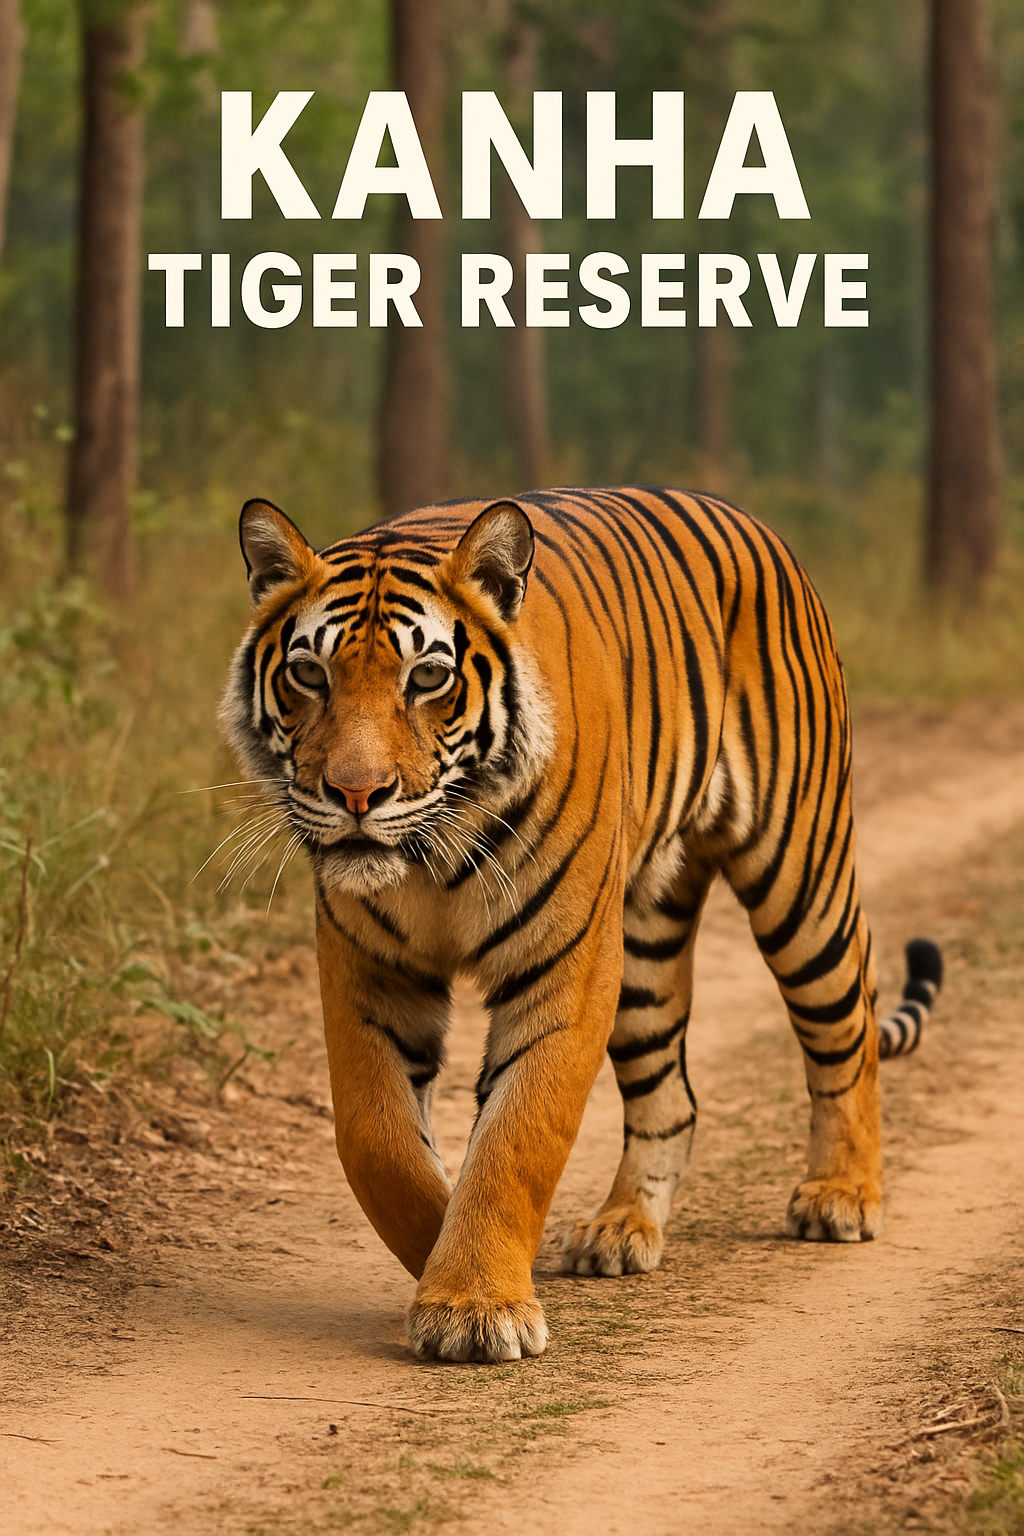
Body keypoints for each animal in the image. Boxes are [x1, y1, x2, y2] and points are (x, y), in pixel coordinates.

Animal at [220, 486, 942, 1365]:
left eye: (427, 677)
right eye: (308, 675)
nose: (357, 794)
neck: (434, 856)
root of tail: (752, 521)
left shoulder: (562, 970)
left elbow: (516, 1139)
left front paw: (474, 1301)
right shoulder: (369, 973)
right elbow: (377, 1140)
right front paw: (450, 1262)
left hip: (799, 872)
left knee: (847, 1030)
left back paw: (842, 1195)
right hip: (644, 950)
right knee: (672, 1097)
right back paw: (622, 1228)